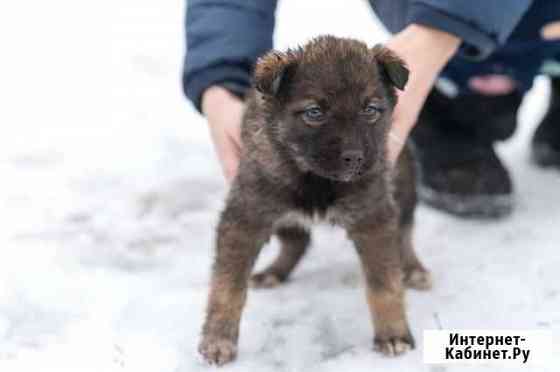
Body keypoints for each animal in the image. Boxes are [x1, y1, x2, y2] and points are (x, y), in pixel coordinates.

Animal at [199, 35, 430, 366]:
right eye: (314, 113)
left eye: (371, 109)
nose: (355, 158)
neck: (316, 179)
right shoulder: (247, 214)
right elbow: (226, 287)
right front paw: (218, 339)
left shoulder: (373, 214)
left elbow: (385, 284)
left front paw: (393, 333)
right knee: (298, 240)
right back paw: (274, 273)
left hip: (403, 182)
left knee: (405, 232)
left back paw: (413, 269)